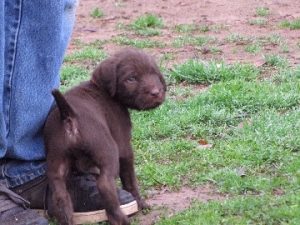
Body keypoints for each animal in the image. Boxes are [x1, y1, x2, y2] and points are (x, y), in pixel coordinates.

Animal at [43, 48, 166, 225]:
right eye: (131, 78)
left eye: (154, 74)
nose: (156, 92)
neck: (103, 90)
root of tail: (68, 115)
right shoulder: (124, 147)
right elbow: (130, 181)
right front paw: (141, 204)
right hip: (108, 150)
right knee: (105, 184)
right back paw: (120, 218)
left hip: (56, 160)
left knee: (60, 195)